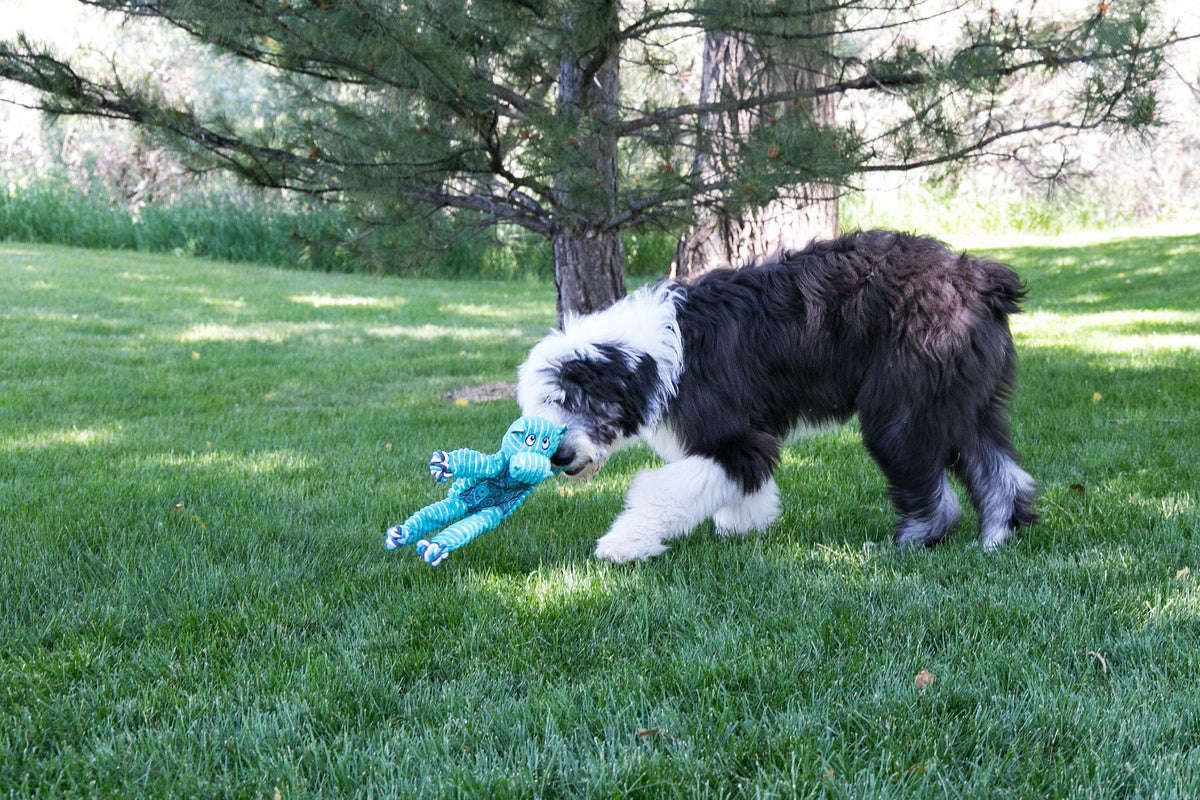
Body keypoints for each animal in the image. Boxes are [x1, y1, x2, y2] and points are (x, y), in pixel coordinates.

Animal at [520, 227, 1036, 561]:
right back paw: (996, 540)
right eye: (542, 408)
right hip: (961, 402)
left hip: (903, 412)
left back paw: (907, 544)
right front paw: (743, 523)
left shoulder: (734, 438)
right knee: (1001, 473)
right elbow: (745, 482)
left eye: (573, 400)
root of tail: (978, 279)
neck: (653, 354)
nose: (559, 457)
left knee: (939, 495)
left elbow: (665, 488)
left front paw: (624, 544)